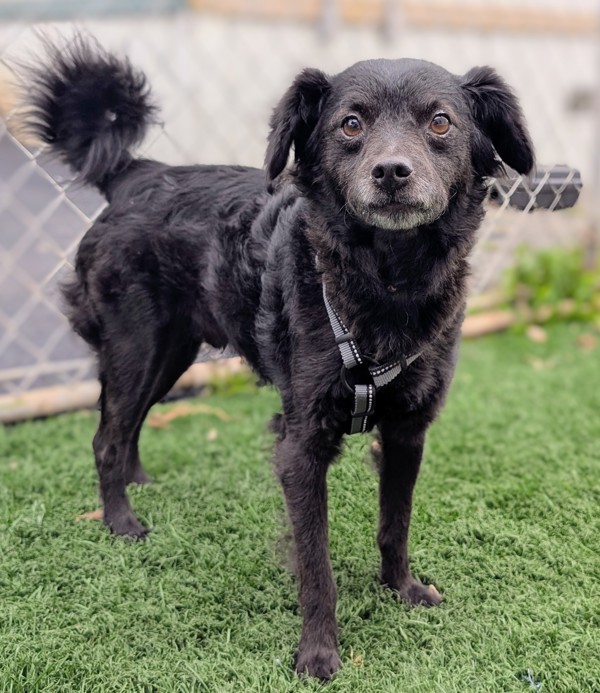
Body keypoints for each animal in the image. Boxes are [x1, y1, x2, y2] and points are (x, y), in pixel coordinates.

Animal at [25, 36, 532, 676]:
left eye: (441, 122)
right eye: (350, 124)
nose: (392, 172)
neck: (387, 281)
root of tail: (137, 174)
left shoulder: (408, 432)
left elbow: (395, 523)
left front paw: (402, 589)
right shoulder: (300, 444)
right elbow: (315, 563)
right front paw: (318, 653)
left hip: (172, 353)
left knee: (130, 421)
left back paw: (139, 481)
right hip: (136, 345)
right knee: (105, 437)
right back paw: (121, 521)